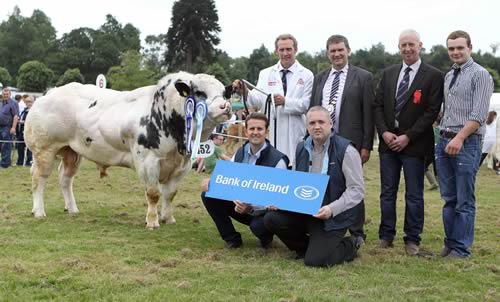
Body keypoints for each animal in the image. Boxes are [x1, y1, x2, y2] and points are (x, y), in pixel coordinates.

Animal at [24, 72, 231, 228]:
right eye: (200, 91)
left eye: (224, 93)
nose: (226, 107)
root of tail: (48, 94)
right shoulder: (148, 162)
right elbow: (154, 194)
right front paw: (152, 222)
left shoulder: (182, 166)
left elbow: (170, 194)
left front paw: (168, 218)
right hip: (44, 150)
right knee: (38, 179)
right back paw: (39, 211)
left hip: (71, 152)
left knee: (65, 179)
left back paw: (72, 209)